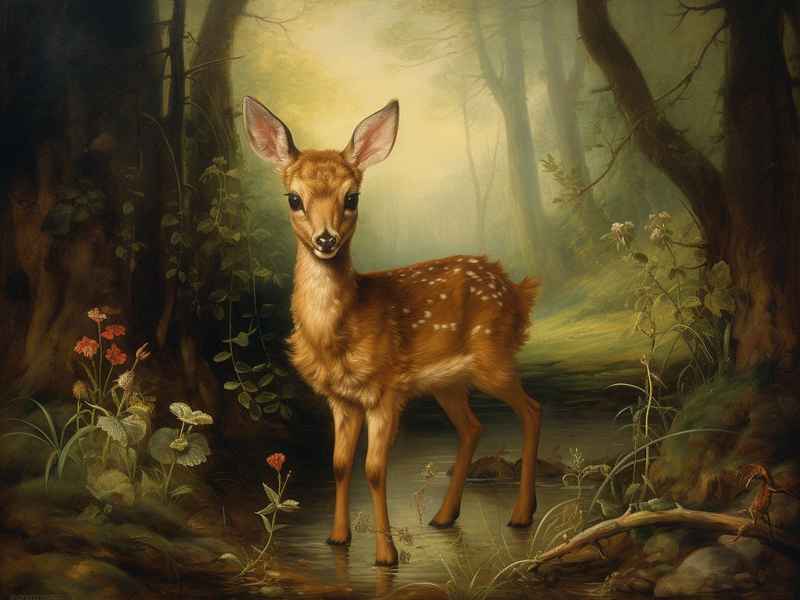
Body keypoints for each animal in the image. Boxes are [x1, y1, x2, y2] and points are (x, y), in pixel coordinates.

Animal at [243, 95, 542, 566]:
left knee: (531, 410)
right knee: (473, 427)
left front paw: (386, 555)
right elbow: (339, 465)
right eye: (294, 198)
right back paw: (444, 516)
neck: (340, 331)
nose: (326, 240)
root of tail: (516, 291)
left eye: (352, 196)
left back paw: (521, 514)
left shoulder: (386, 391)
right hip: (448, 381)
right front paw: (337, 538)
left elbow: (374, 469)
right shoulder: (342, 399)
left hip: (493, 358)